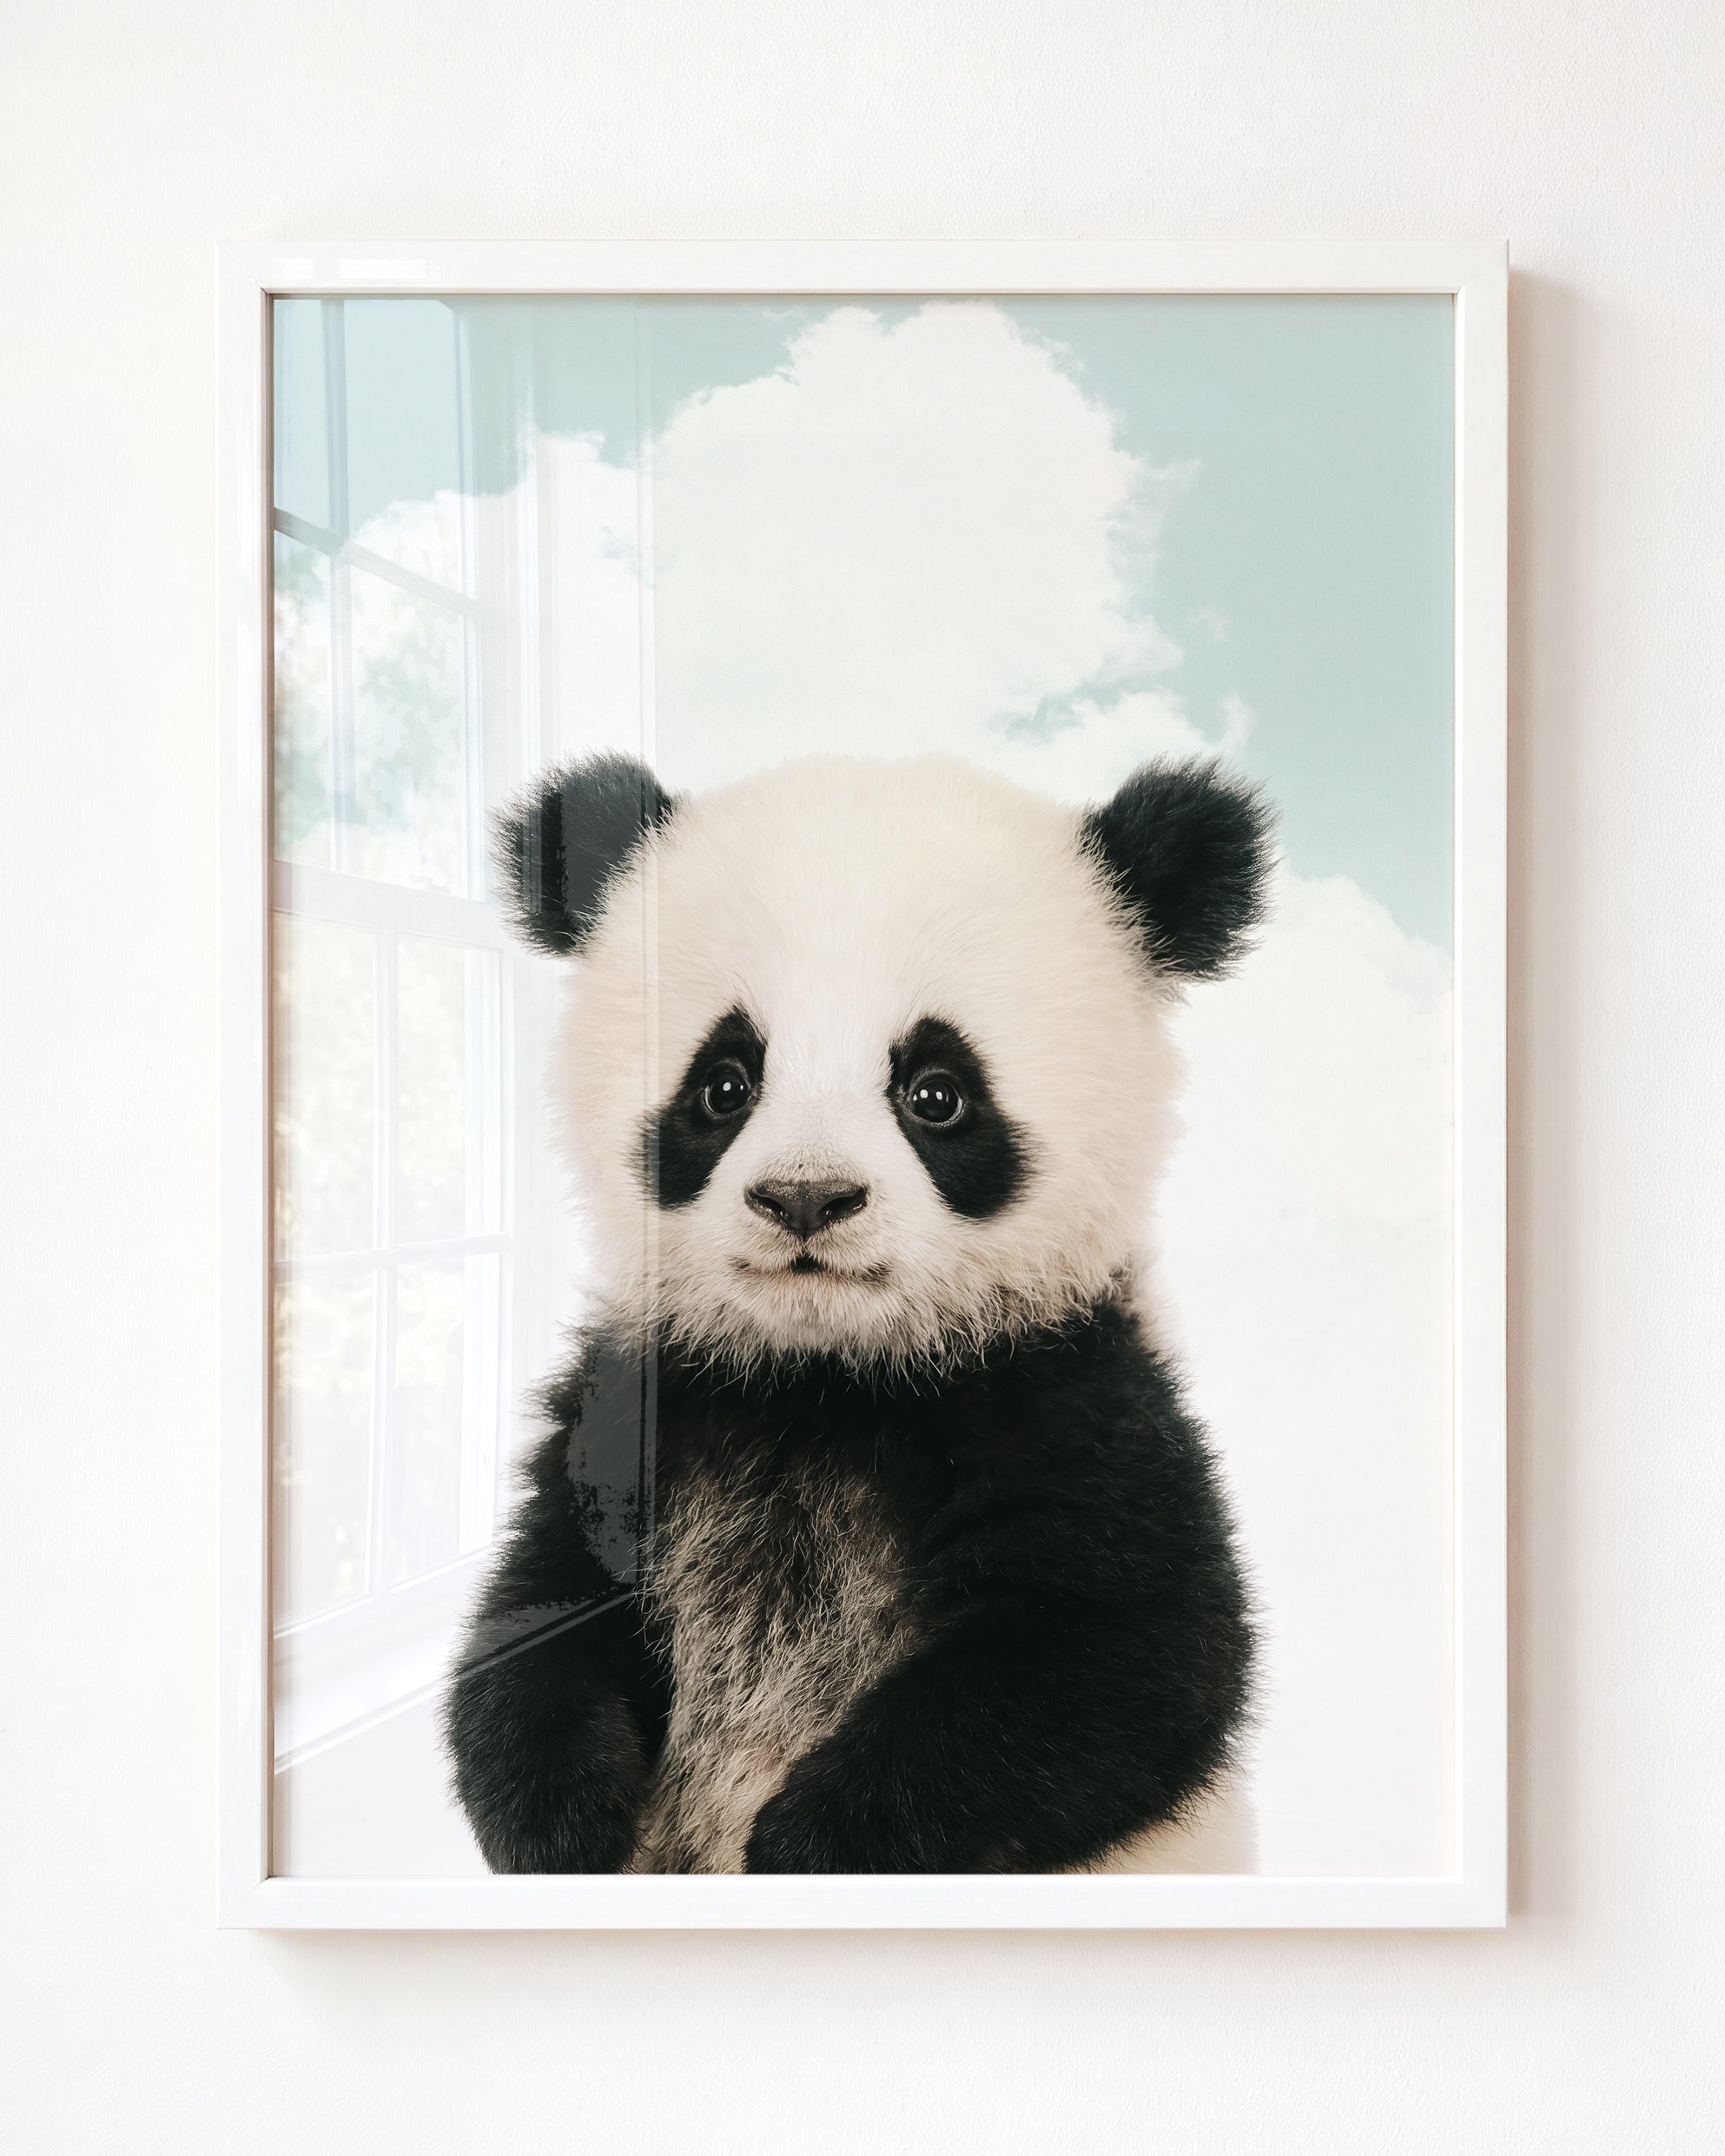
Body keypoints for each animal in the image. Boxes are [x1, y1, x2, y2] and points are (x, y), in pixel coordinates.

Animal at [444, 751, 1271, 1875]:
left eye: (936, 1092)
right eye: (724, 1083)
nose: (806, 1197)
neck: (826, 1375)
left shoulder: (1071, 1395)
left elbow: (1128, 1657)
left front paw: (808, 1844)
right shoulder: (642, 1403)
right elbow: (538, 1610)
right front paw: (562, 1821)